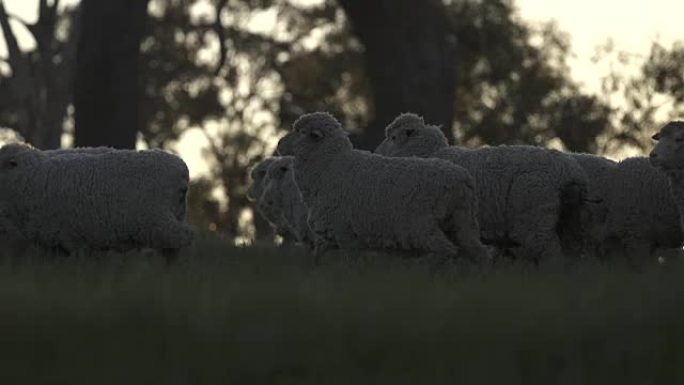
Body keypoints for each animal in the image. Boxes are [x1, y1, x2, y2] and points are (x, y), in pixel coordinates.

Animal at [276, 111, 488, 260]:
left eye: (300, 132)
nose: (278, 144)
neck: (328, 168)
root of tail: (460, 179)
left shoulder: (346, 234)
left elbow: (354, 266)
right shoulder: (330, 240)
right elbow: (316, 261)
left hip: (420, 225)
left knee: (447, 250)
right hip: (463, 221)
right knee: (480, 253)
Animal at [374, 111, 588, 260]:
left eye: (393, 137)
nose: (376, 151)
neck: (431, 152)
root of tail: (568, 169)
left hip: (535, 215)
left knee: (551, 254)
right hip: (568, 221)